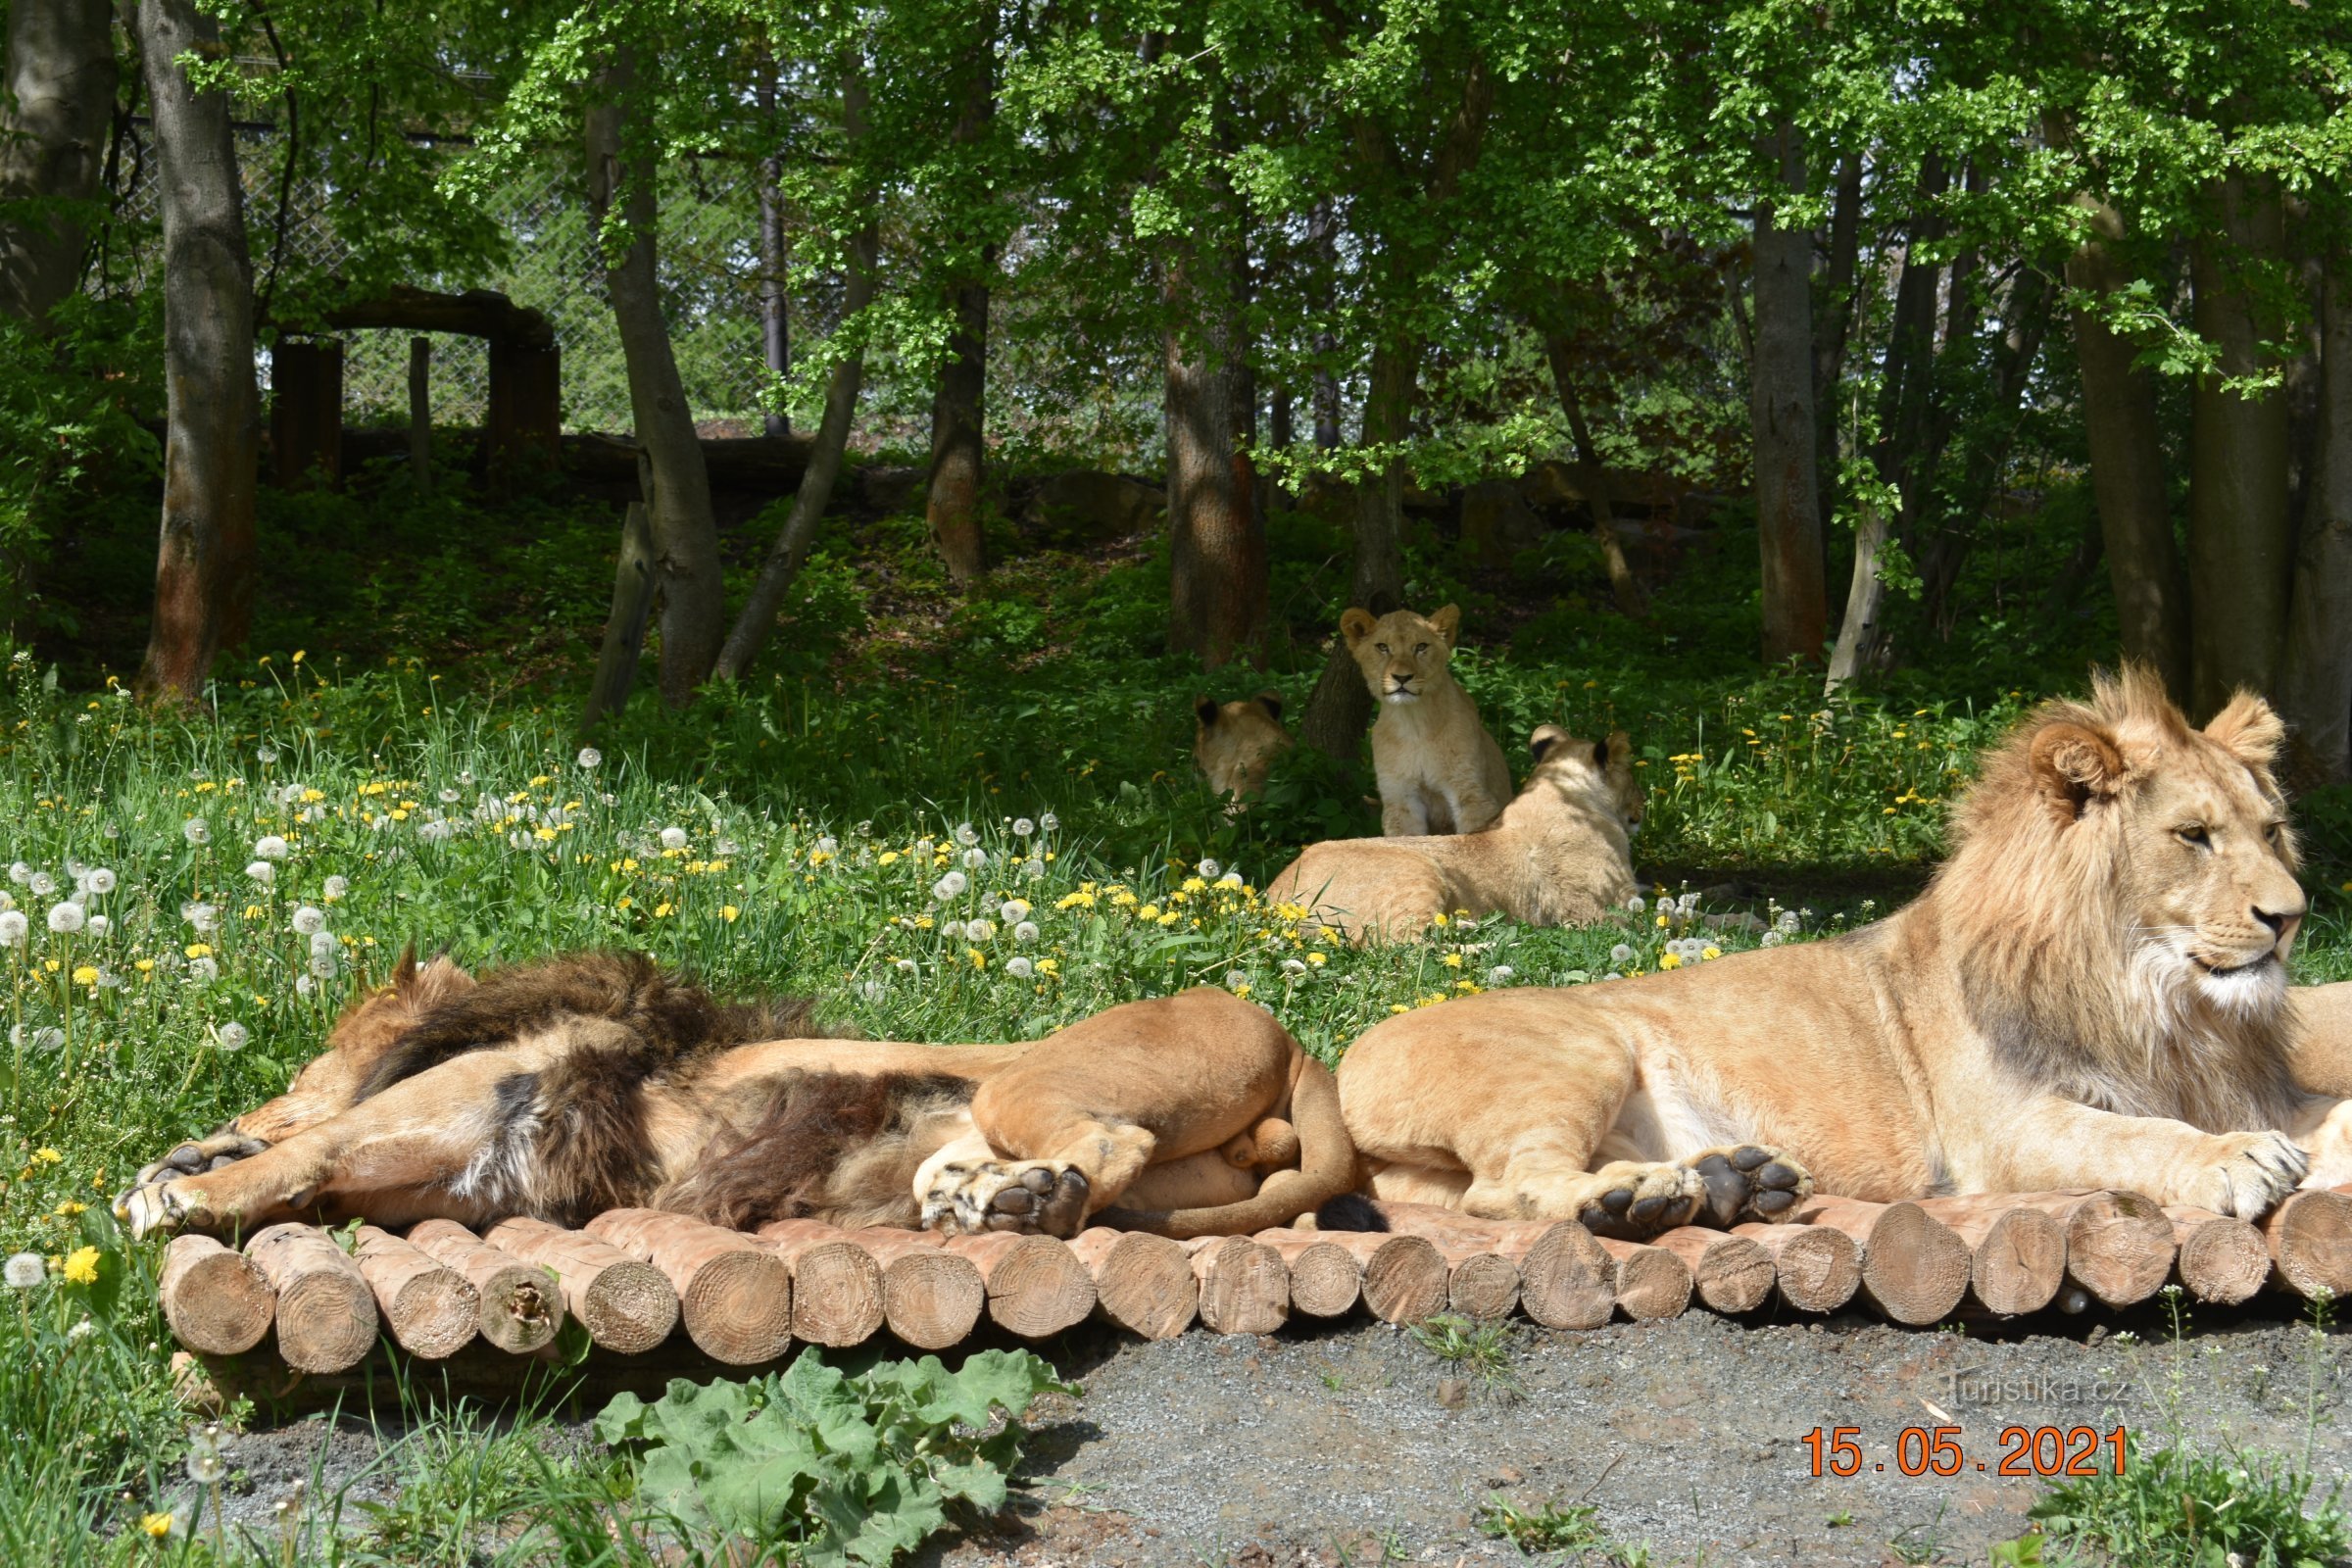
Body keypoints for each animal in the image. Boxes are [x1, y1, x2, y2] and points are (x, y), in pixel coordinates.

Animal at [1270, 728, 1637, 945]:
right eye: (1634, 778)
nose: (1642, 806)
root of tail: (1274, 895)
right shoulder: (1604, 909)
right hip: (1417, 871)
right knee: (1405, 948)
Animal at [1336, 606, 1514, 841]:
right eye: (1382, 647)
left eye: (1421, 647)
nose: (1402, 677)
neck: (1414, 724)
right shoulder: (1401, 799)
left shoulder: (1471, 794)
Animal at [1336, 672, 2352, 1241]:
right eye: (2194, 836)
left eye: (2271, 831)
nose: (2292, 917)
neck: (2162, 999)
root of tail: (1345, 1065)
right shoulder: (2002, 1132)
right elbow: (2137, 1134)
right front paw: (2235, 1158)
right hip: (1574, 1052)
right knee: (1507, 1188)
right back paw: (1650, 1194)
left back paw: (1728, 1185)